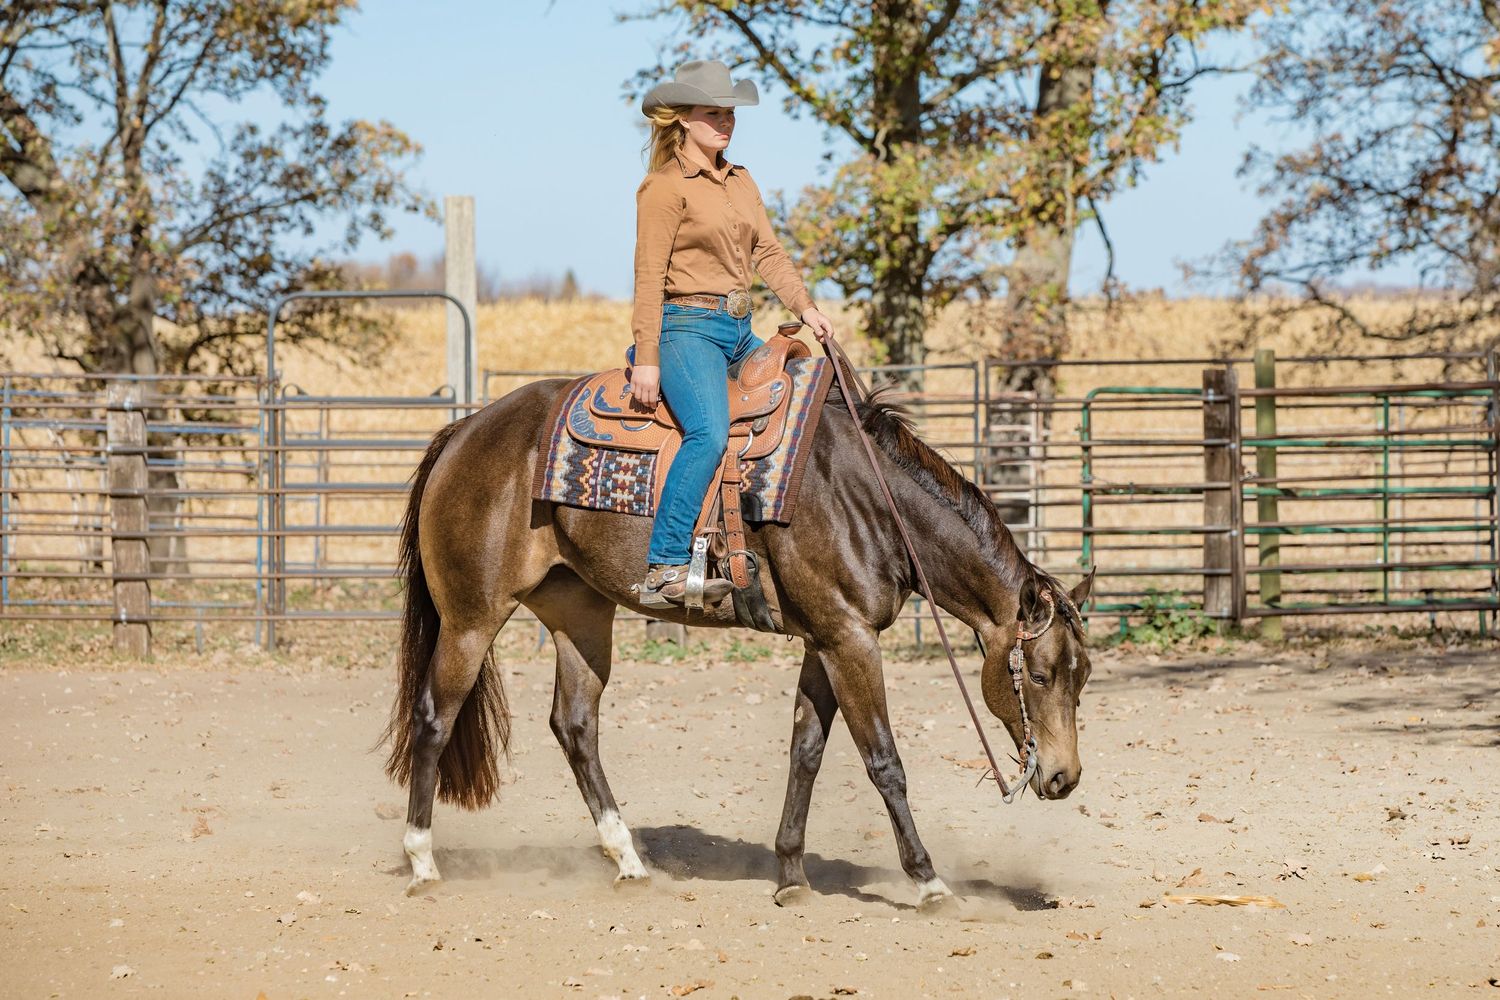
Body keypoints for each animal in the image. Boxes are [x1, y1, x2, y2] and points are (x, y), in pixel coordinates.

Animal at [380, 374, 1094, 908]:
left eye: (1082, 675)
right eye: (1038, 674)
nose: (1063, 777)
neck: (866, 499)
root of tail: (463, 432)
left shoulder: (824, 640)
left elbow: (806, 751)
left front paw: (791, 876)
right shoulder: (850, 641)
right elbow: (884, 761)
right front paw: (928, 881)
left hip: (579, 614)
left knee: (575, 725)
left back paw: (628, 860)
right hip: (471, 618)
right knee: (434, 718)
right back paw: (422, 863)